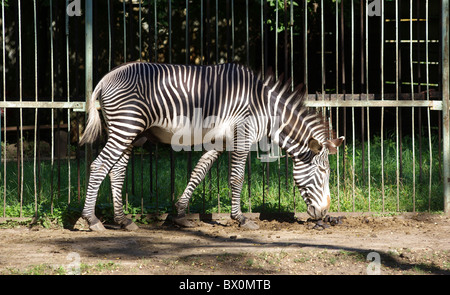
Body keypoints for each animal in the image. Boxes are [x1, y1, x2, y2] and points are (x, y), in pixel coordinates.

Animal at [81, 62, 342, 232]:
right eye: (323, 172)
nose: (324, 214)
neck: (265, 110)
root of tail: (106, 77)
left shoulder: (219, 141)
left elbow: (199, 173)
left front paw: (180, 214)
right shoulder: (242, 136)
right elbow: (236, 178)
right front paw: (240, 219)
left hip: (132, 134)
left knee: (116, 171)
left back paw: (123, 220)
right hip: (126, 127)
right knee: (99, 166)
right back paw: (92, 220)